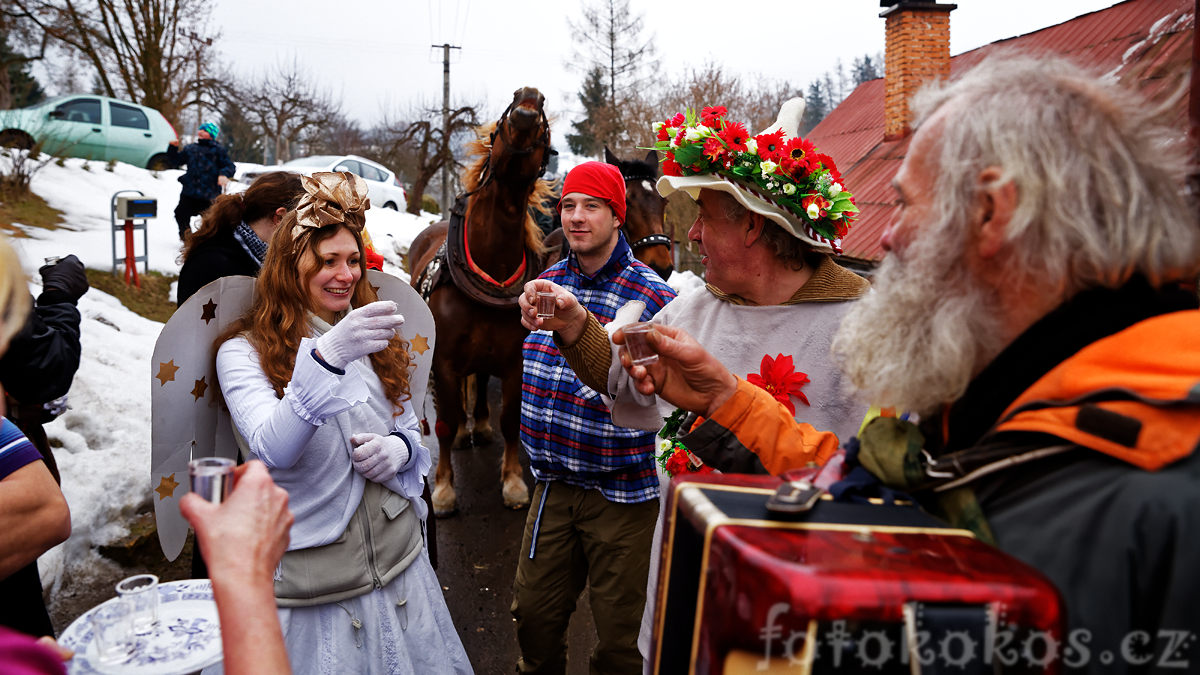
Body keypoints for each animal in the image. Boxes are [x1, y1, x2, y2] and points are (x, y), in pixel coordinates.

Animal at [403, 86, 552, 511]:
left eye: (543, 109)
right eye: (507, 109)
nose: (529, 96)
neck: (492, 266)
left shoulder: (515, 361)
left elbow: (511, 421)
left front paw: (513, 481)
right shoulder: (444, 362)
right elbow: (445, 423)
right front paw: (443, 488)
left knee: (483, 380)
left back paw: (482, 424)